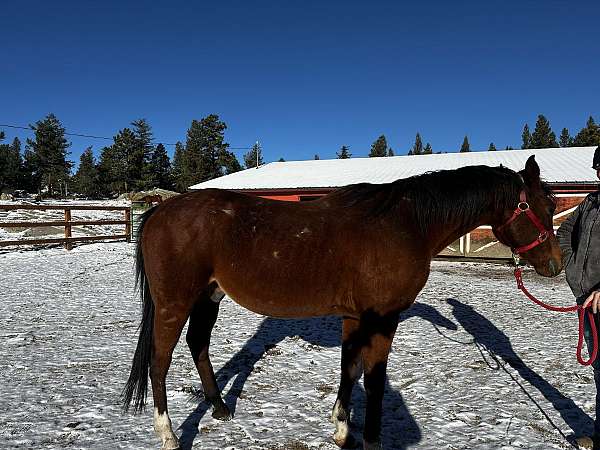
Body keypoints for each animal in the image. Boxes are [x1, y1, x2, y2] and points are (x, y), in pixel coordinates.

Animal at [122, 156, 564, 450]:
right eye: (545, 207)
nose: (555, 265)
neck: (405, 225)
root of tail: (160, 210)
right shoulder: (384, 319)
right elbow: (374, 379)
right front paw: (370, 440)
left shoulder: (356, 317)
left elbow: (349, 371)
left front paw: (340, 429)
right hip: (174, 304)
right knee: (160, 361)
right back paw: (168, 435)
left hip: (208, 297)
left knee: (198, 345)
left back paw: (219, 409)